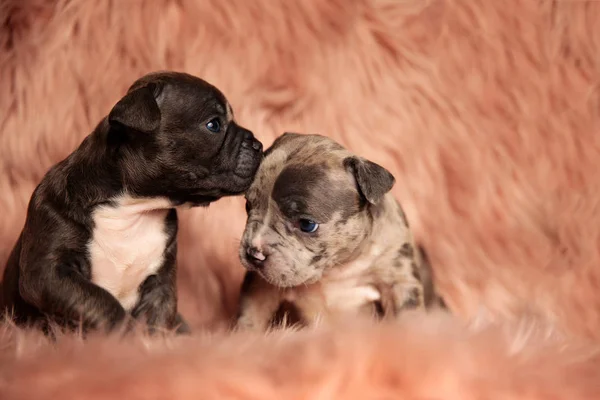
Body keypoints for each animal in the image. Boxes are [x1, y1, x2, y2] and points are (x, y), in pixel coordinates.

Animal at [0, 71, 262, 334]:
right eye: (214, 125)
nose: (259, 145)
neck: (133, 208)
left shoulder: (161, 285)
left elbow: (159, 321)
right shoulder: (49, 272)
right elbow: (103, 303)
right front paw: (126, 337)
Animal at [234, 133, 446, 330]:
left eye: (306, 224)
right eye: (248, 205)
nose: (253, 252)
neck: (337, 268)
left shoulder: (398, 280)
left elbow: (407, 317)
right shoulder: (261, 286)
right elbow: (251, 314)